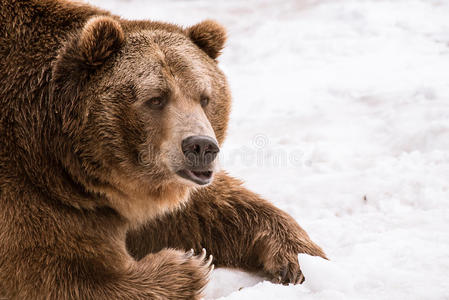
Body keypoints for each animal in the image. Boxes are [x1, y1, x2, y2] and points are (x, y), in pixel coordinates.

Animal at [0, 0, 326, 298]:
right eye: (155, 98)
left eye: (204, 97)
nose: (201, 146)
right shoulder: (31, 193)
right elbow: (57, 275)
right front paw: (190, 265)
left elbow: (208, 208)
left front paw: (298, 258)